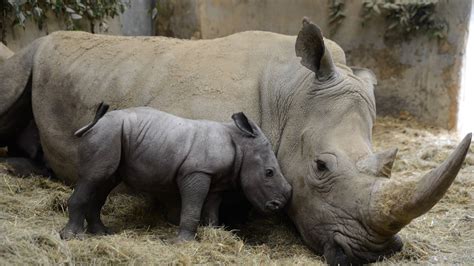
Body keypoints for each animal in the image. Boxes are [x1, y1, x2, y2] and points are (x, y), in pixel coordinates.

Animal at [60, 103, 292, 242]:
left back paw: (102, 233)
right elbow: (192, 206)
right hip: (107, 133)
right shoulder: (196, 172)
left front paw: (213, 233)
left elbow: (212, 209)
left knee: (104, 181)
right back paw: (72, 237)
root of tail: (94, 123)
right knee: (93, 178)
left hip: (113, 135)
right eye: (269, 172)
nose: (278, 205)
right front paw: (183, 242)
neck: (241, 143)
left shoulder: (215, 177)